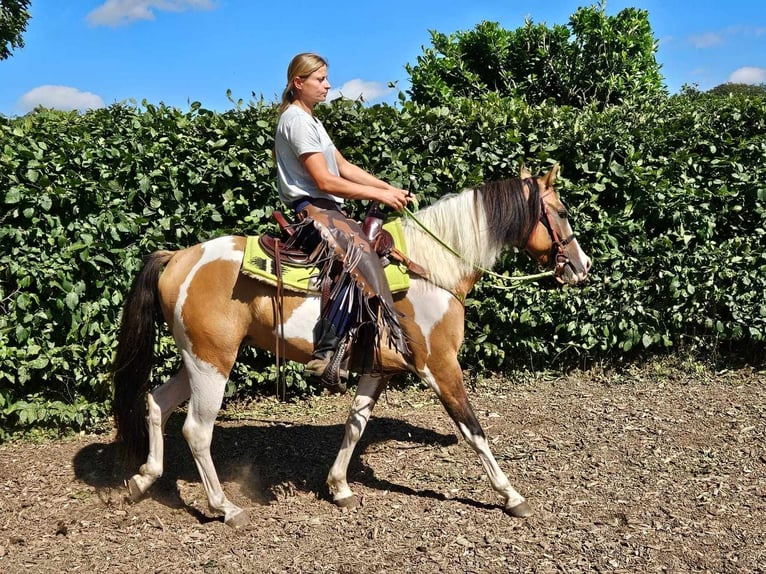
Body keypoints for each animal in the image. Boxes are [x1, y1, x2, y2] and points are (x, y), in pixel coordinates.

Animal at [112, 164, 592, 528]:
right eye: (562, 211)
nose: (583, 265)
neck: (432, 268)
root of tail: (177, 258)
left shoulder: (378, 369)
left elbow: (355, 424)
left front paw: (339, 486)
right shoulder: (440, 365)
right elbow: (473, 430)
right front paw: (510, 495)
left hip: (196, 359)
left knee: (157, 402)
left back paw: (143, 479)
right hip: (212, 362)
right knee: (196, 429)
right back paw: (225, 507)